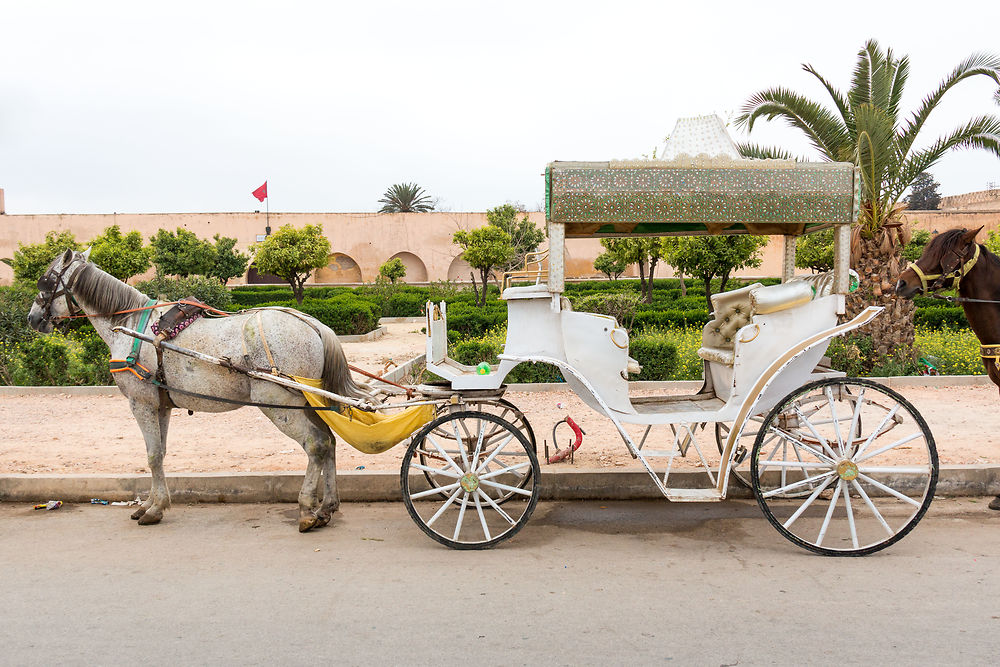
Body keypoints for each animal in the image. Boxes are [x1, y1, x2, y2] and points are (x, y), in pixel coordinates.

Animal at [29, 250, 370, 532]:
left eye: (46, 280)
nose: (33, 318)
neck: (131, 324)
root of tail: (314, 324)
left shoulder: (141, 402)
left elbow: (152, 455)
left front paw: (155, 509)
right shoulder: (161, 404)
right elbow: (160, 453)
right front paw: (151, 503)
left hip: (277, 401)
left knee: (315, 444)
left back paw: (308, 510)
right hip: (308, 400)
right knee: (329, 442)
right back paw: (327, 507)